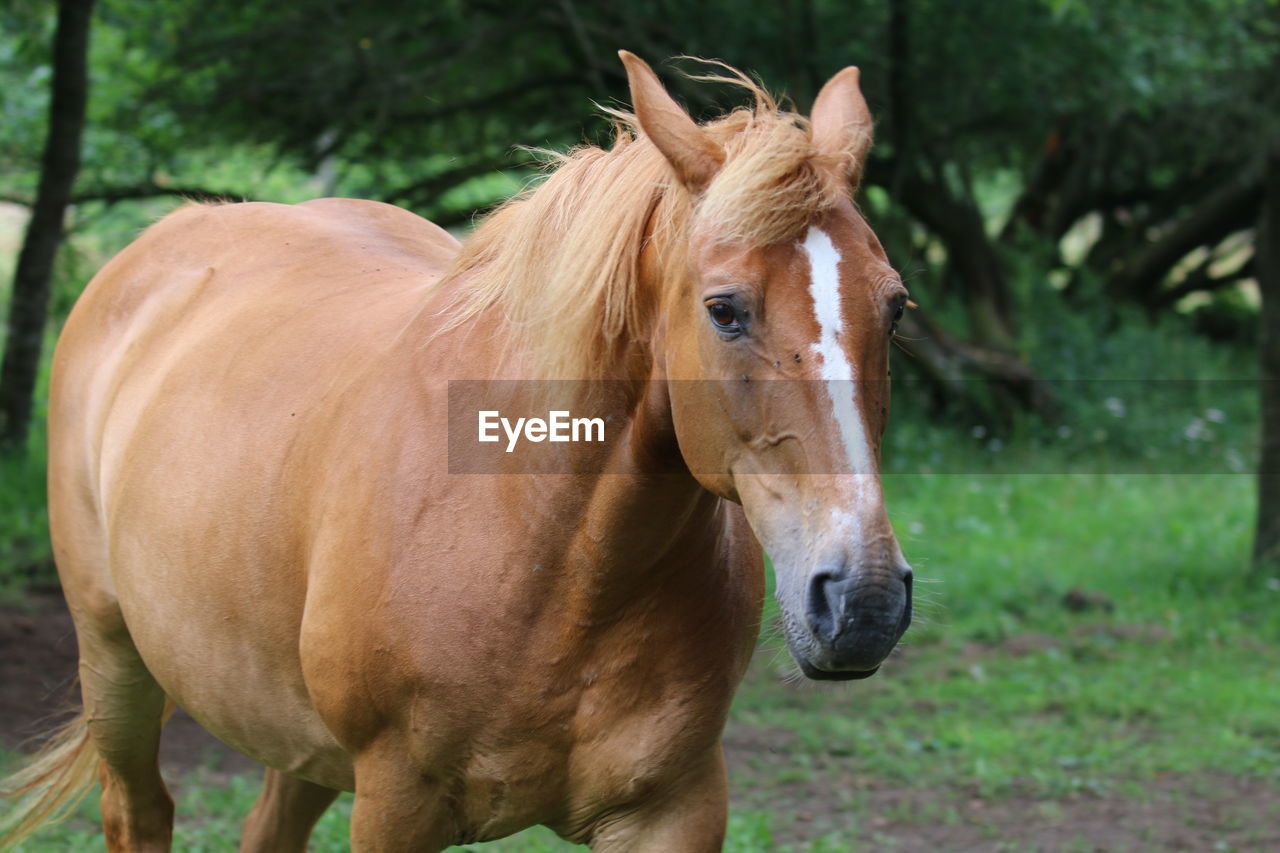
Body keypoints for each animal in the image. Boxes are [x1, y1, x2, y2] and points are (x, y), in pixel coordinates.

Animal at [5, 49, 916, 845]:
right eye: (725, 309)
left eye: (895, 306)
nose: (864, 601)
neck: (554, 553)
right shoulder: (395, 804)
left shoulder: (674, 805)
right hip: (114, 661)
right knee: (139, 810)